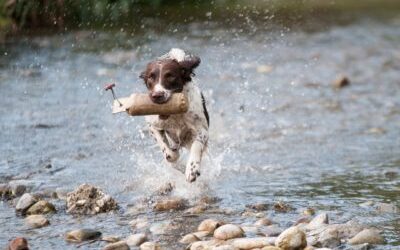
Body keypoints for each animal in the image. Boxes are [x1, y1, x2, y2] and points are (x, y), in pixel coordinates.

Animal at [140, 48, 209, 182]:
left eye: (170, 76)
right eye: (150, 77)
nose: (157, 95)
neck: (174, 114)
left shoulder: (202, 130)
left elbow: (197, 145)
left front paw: (192, 170)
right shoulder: (153, 125)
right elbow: (168, 152)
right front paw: (176, 159)